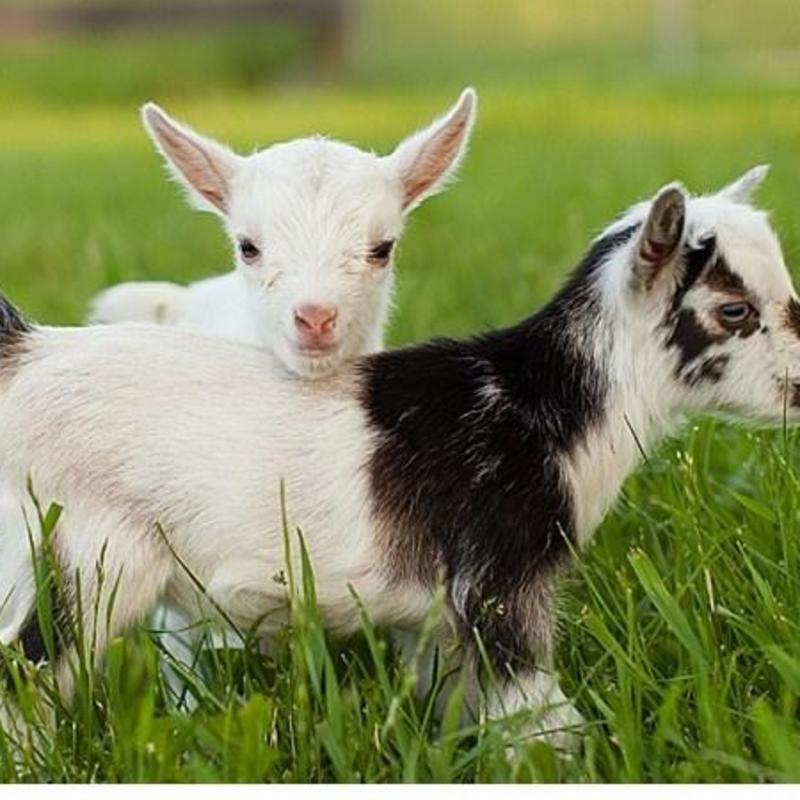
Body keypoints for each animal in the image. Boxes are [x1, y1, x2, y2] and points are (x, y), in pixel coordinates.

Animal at [0, 165, 790, 748]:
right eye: (735, 312)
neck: (541, 400)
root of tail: (28, 352)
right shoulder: (499, 585)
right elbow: (540, 718)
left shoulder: (440, 619)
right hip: (81, 553)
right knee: (26, 673)